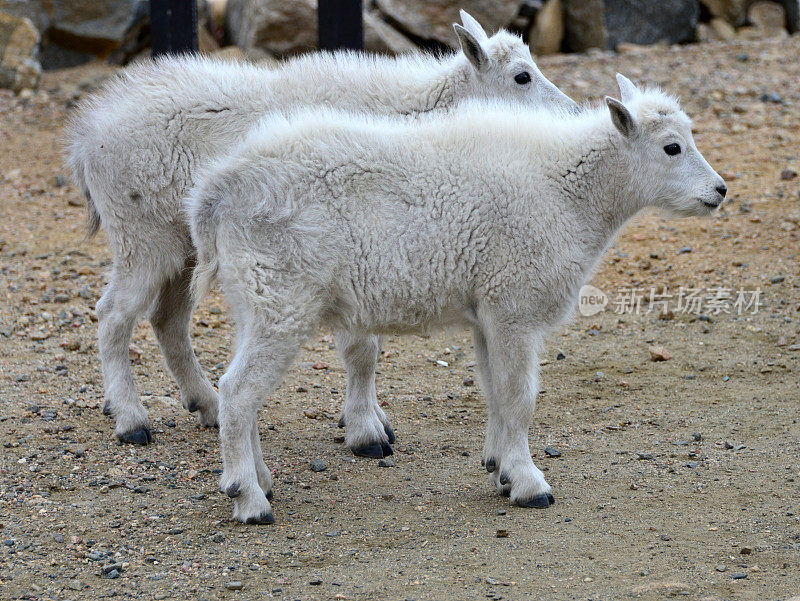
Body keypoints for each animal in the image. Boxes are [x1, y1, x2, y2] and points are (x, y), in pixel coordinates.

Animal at [64, 10, 576, 450]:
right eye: (522, 77)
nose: (572, 115)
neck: (413, 110)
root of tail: (88, 135)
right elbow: (363, 349)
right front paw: (367, 432)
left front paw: (369, 420)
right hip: (142, 237)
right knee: (114, 315)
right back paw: (131, 419)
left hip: (185, 248)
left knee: (167, 321)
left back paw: (206, 404)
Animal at [191, 75, 728, 524]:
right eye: (672, 147)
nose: (719, 191)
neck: (570, 193)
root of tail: (215, 192)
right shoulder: (513, 305)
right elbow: (519, 397)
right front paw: (529, 483)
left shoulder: (488, 311)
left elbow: (494, 391)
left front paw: (500, 468)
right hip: (283, 300)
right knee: (238, 390)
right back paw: (249, 499)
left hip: (253, 300)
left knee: (243, 389)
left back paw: (261, 480)